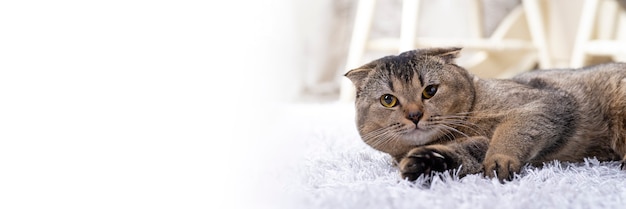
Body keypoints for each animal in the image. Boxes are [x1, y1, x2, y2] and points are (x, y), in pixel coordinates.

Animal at [344, 47, 620, 181]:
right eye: (388, 100)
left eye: (430, 90)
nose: (414, 115)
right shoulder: (475, 144)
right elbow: (462, 155)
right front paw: (425, 165)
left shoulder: (548, 104)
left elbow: (512, 130)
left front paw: (500, 159)